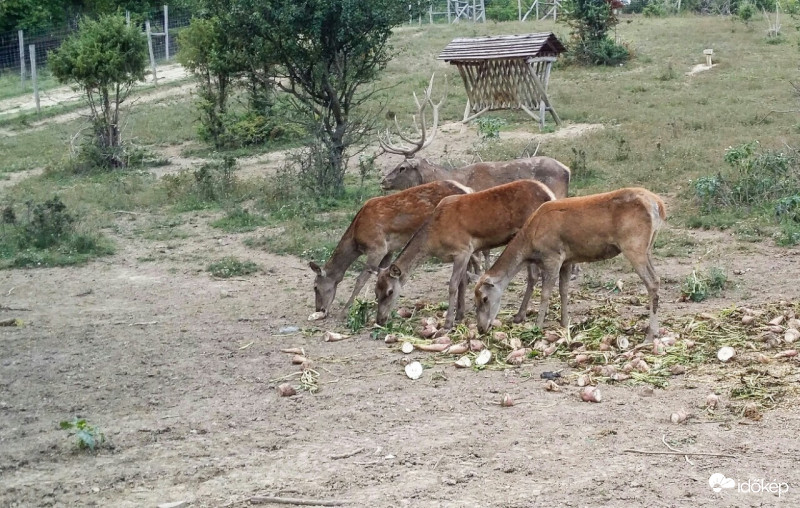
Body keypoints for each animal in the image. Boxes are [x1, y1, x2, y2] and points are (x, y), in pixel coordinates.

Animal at [308, 179, 472, 318]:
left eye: (315, 287)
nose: (319, 309)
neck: (356, 238)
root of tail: (467, 189)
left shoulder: (377, 247)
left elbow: (360, 279)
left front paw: (344, 312)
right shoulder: (388, 250)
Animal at [376, 179, 556, 330]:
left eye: (390, 291)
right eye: (376, 292)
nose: (380, 320)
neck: (434, 239)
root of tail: (550, 194)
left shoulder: (463, 250)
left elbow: (453, 285)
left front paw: (448, 322)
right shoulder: (464, 253)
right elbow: (463, 282)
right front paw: (460, 314)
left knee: (533, 275)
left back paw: (520, 315)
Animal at [472, 187, 664, 342]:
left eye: (484, 298)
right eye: (475, 300)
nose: (481, 328)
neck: (530, 242)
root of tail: (659, 205)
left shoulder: (553, 256)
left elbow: (546, 293)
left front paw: (538, 326)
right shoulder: (567, 260)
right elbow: (564, 291)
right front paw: (565, 323)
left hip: (633, 245)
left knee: (652, 281)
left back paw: (650, 335)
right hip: (647, 247)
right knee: (657, 279)